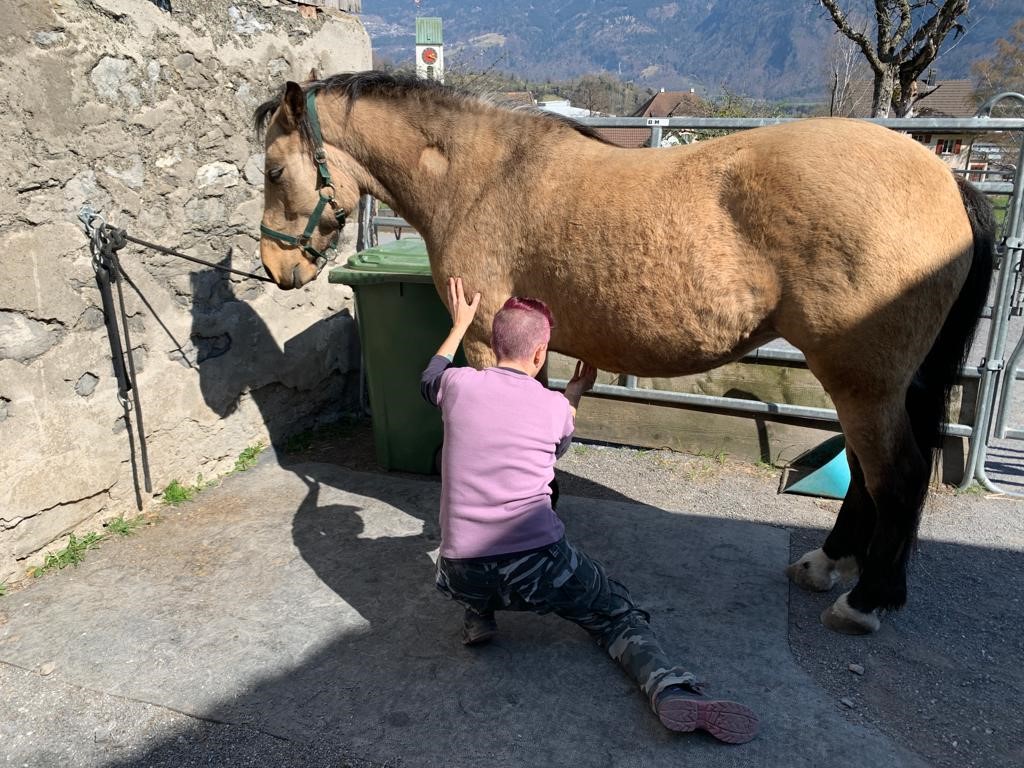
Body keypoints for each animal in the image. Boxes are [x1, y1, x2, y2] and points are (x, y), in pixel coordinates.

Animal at [253, 70, 991, 638]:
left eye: (272, 169)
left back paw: (863, 601)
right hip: (875, 383)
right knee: (871, 475)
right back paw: (828, 565)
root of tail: (946, 180)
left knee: (894, 475)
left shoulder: (486, 338)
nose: (276, 269)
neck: (481, 176)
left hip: (862, 381)